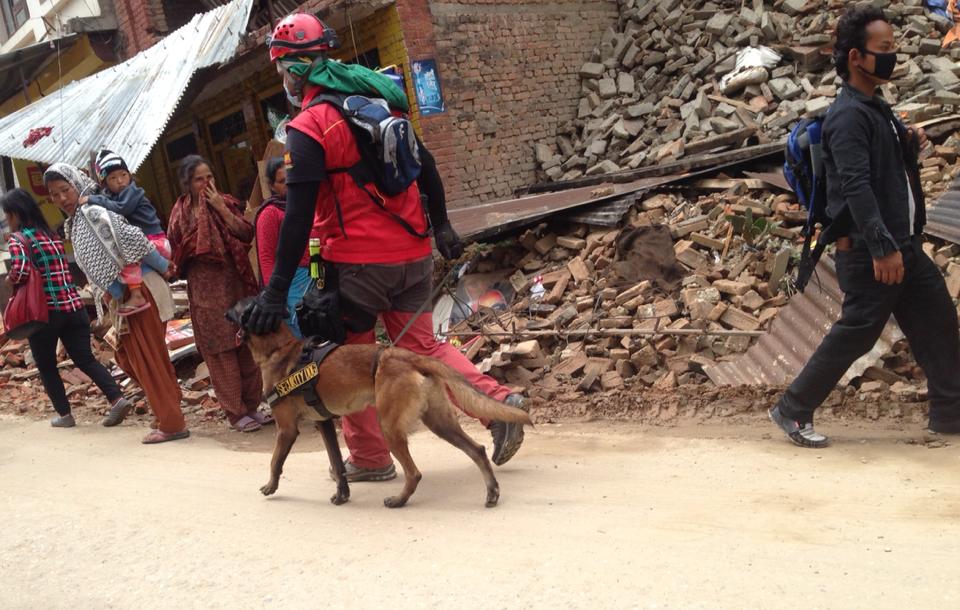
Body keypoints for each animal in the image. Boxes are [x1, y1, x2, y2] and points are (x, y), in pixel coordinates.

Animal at [230, 296, 536, 506]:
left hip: (389, 426)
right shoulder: (324, 424)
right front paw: (342, 495)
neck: (278, 348)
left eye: (235, 307)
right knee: (477, 451)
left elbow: (275, 461)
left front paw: (270, 486)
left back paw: (399, 500)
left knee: (414, 473)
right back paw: (492, 491)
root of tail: (409, 356)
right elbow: (338, 466)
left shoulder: (286, 429)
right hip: (440, 422)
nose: (223, 312)